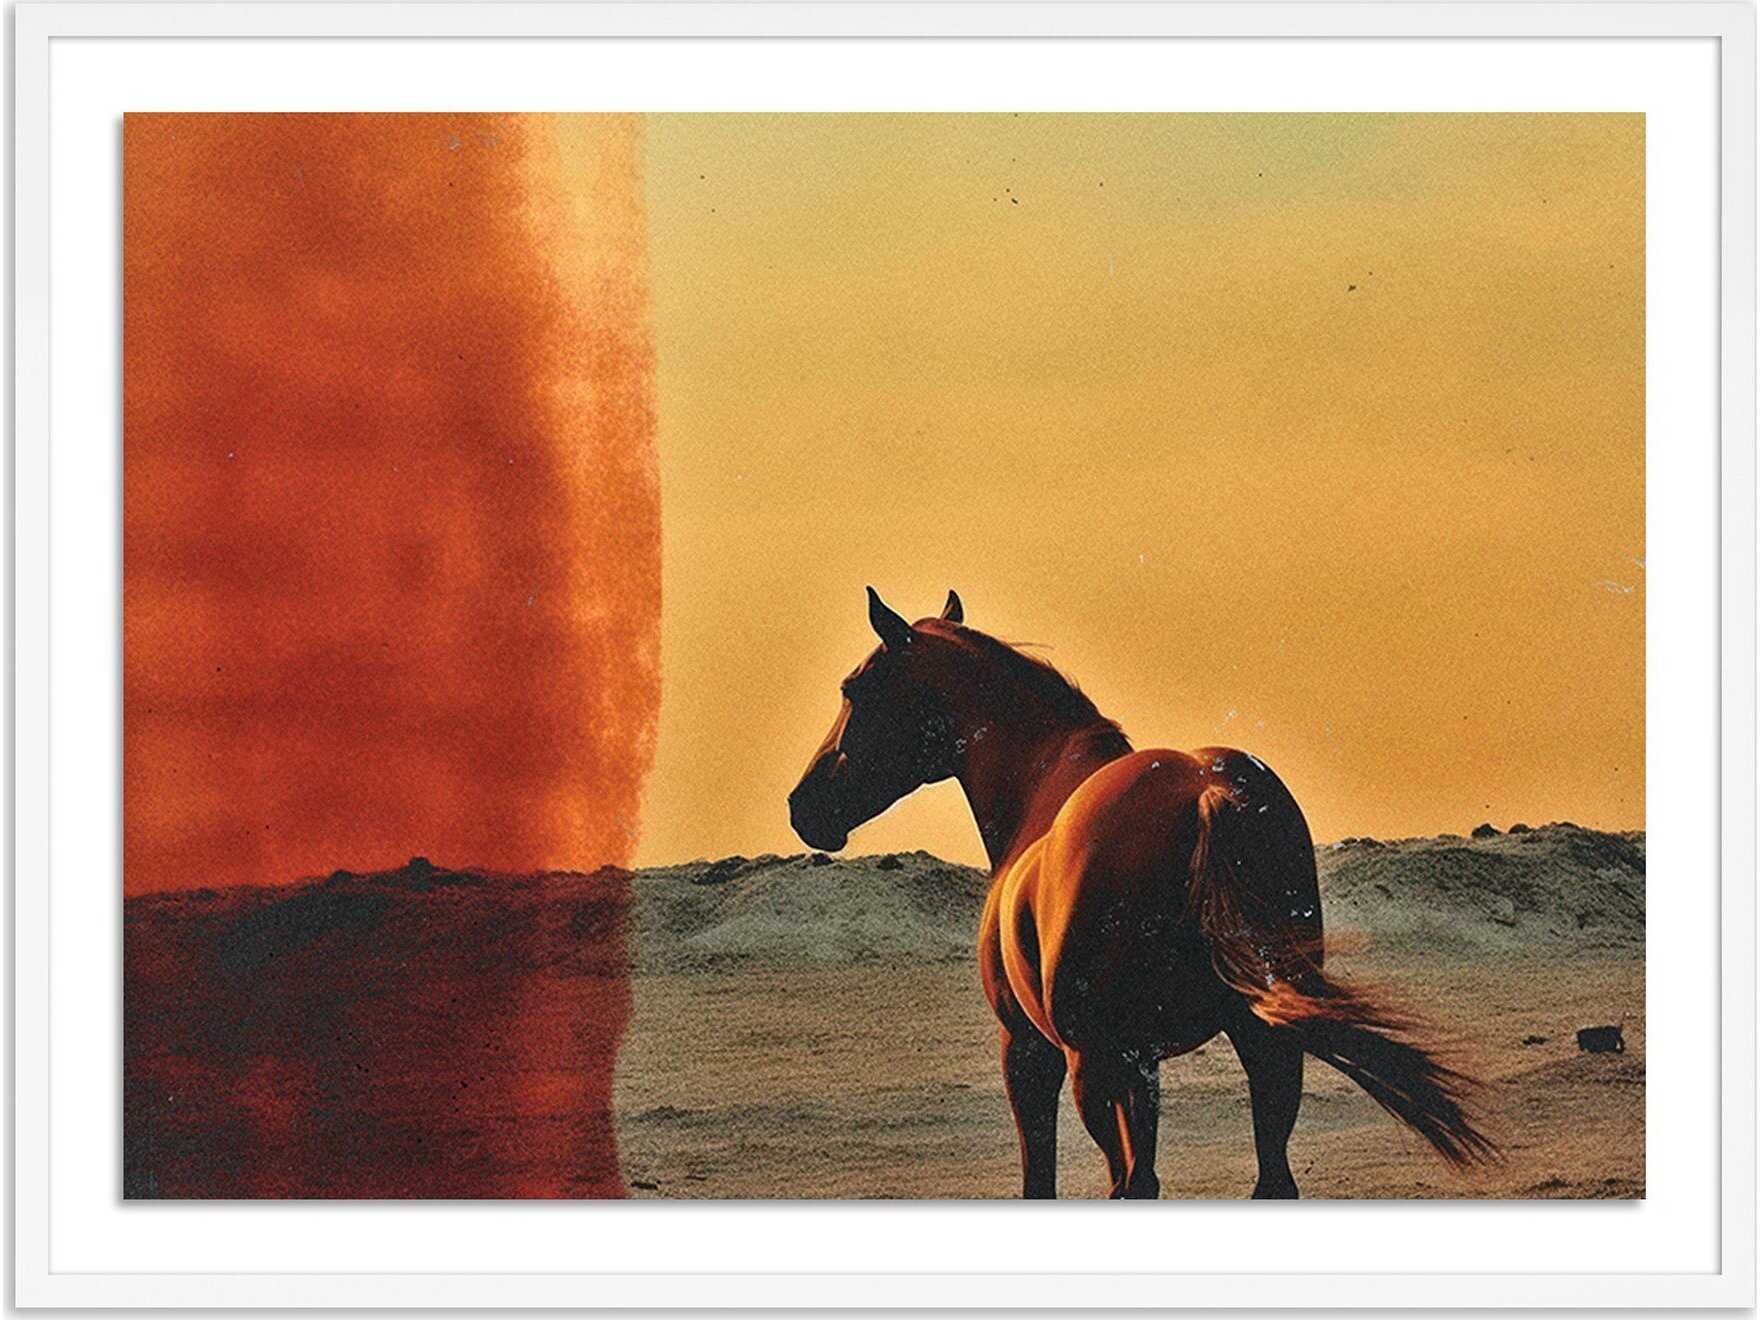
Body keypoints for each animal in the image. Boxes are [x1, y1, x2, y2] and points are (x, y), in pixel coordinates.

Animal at [788, 587, 1494, 1199]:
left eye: (854, 689)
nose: (804, 806)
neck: (1042, 786)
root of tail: (1209, 793)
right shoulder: (1144, 1063)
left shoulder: (1033, 1053)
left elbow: (1044, 1182)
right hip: (1264, 1046)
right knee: (1269, 1180)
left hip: (1097, 1068)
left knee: (1134, 1185)